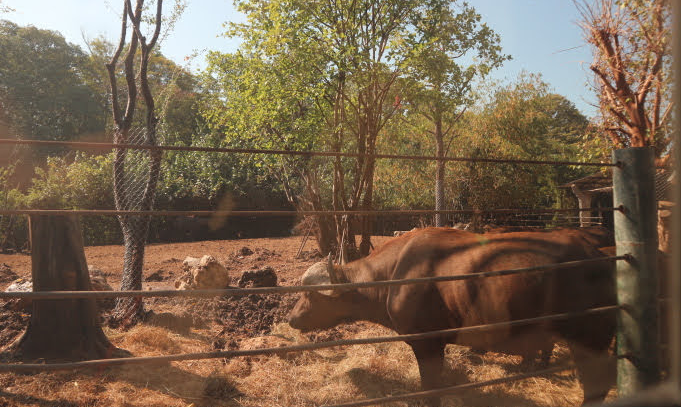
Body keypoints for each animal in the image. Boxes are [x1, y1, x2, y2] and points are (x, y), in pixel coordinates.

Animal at [286, 228, 616, 406]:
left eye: (310, 295)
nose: (291, 319)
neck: (394, 274)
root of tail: (597, 256)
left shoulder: (428, 345)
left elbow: (431, 389)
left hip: (591, 341)